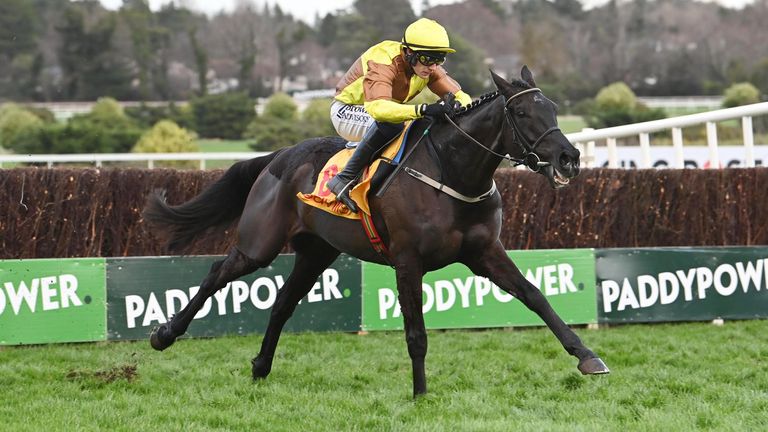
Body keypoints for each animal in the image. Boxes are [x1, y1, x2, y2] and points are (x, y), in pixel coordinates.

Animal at [147, 66, 608, 394]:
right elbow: (416, 332)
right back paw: (164, 335)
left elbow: (536, 297)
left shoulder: (484, 253)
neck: (452, 170)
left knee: (281, 304)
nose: (569, 158)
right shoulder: (408, 261)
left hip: (317, 252)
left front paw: (587, 356)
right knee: (217, 274)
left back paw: (261, 367)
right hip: (260, 243)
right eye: (523, 112)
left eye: (553, 108)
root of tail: (280, 155)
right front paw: (421, 394)